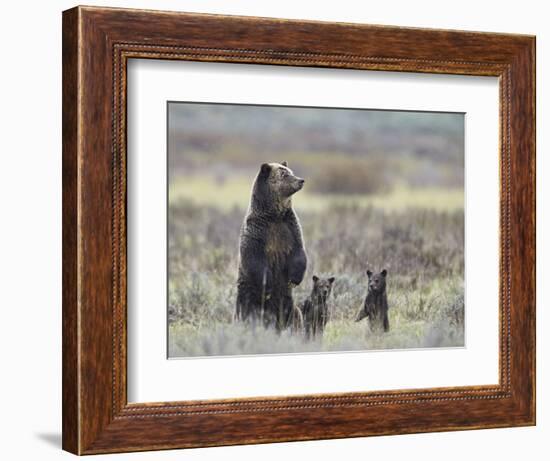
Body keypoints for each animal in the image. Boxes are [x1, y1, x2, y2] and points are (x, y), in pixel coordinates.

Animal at [236, 160, 308, 328]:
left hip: (287, 301)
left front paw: (294, 279)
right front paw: (267, 287)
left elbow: (299, 252)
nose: (301, 180)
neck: (274, 215)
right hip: (247, 294)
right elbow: (254, 258)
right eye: (284, 174)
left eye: (290, 171)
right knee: (246, 311)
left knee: (293, 314)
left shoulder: (290, 228)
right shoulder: (258, 232)